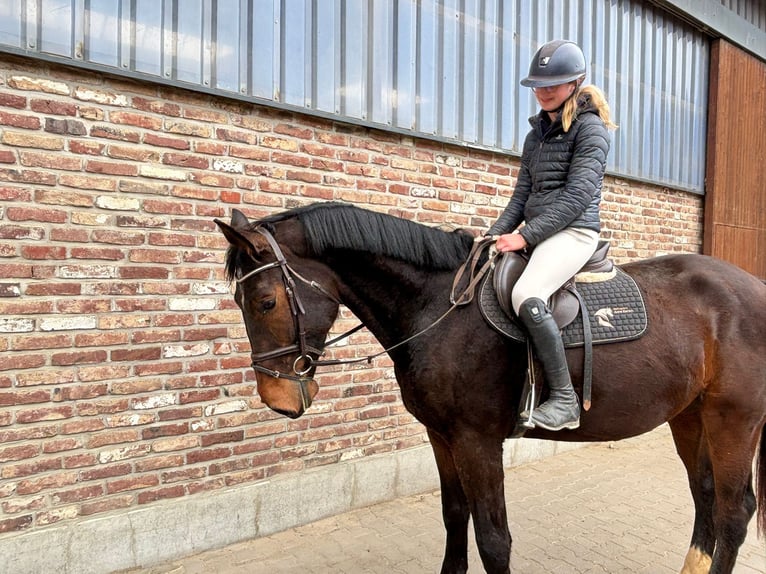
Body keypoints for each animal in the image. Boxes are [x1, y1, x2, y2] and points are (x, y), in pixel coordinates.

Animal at [215, 201, 766, 574]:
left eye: (265, 301)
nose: (277, 399)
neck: (437, 308)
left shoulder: (478, 441)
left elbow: (494, 539)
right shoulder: (442, 436)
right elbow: (455, 515)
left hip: (734, 419)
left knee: (734, 511)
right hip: (690, 415)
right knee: (706, 494)